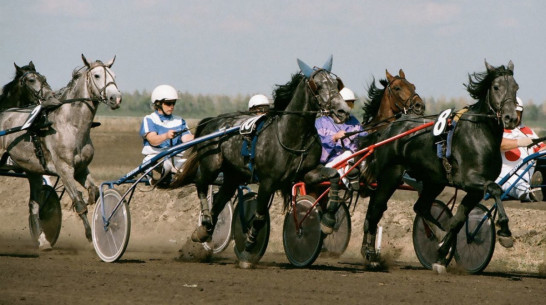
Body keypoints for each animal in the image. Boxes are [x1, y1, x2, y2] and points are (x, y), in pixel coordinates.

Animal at [0, 54, 120, 248]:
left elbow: (93, 192)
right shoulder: (64, 170)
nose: (115, 98)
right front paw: (90, 235)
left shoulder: (81, 169)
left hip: (32, 170)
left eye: (114, 75)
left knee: (34, 204)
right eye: (97, 76)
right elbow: (79, 203)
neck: (71, 125)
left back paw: (42, 240)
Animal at [169, 55, 348, 264]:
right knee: (202, 185)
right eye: (317, 85)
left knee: (220, 200)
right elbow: (260, 215)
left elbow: (334, 176)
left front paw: (328, 221)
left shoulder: (307, 173)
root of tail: (212, 121)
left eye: (336, 84)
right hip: (211, 165)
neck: (292, 135)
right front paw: (248, 248)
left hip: (233, 175)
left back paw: (205, 230)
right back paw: (204, 224)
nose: (343, 111)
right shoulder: (268, 181)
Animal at [360, 60, 516, 274]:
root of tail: (386, 131)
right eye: (496, 87)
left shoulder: (475, 189)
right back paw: (370, 255)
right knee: (376, 208)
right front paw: (505, 232)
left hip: (433, 181)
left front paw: (441, 255)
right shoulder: (469, 180)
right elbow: (495, 188)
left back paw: (438, 236)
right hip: (391, 175)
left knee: (420, 207)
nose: (511, 117)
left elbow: (458, 220)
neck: (479, 132)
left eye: (516, 87)